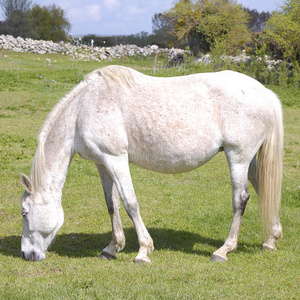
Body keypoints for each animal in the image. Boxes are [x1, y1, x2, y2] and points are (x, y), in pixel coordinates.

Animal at [19, 64, 284, 262]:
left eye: (24, 213)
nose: (26, 254)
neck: (83, 108)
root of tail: (266, 93)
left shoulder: (116, 159)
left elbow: (130, 203)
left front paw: (143, 251)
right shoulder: (102, 163)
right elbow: (112, 204)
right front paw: (112, 248)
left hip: (238, 157)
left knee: (240, 200)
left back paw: (223, 250)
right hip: (248, 160)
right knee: (263, 188)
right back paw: (270, 240)